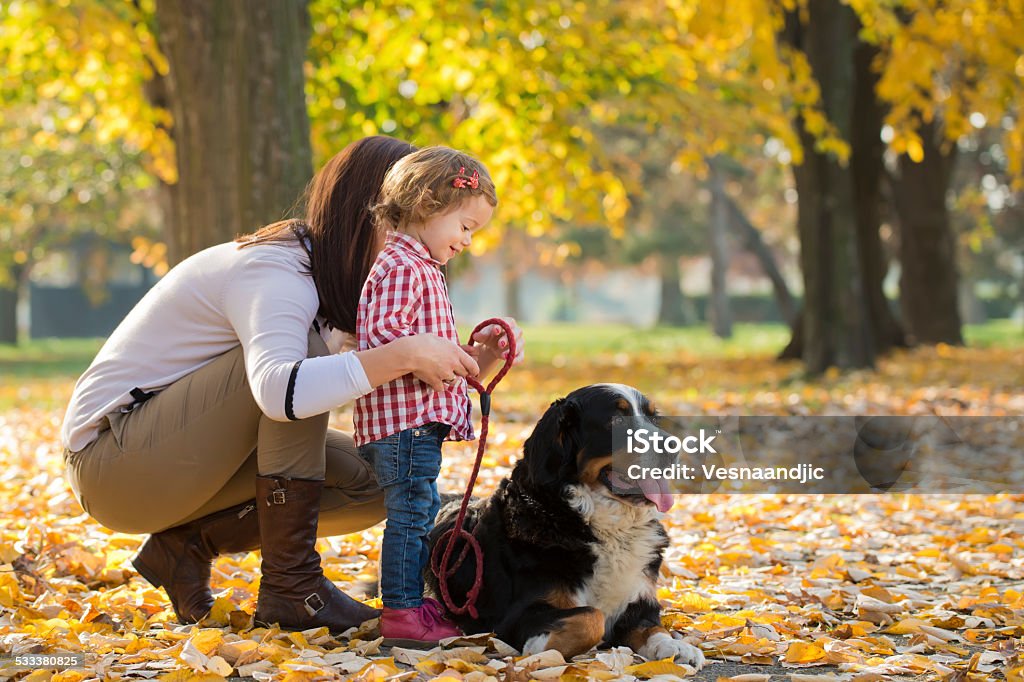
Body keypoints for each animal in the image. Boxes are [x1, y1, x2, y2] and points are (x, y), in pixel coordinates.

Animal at [423, 385, 704, 667]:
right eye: (616, 420)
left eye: (654, 418)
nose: (673, 445)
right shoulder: (512, 616)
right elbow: (592, 617)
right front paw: (542, 646)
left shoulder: (639, 602)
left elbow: (654, 627)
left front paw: (677, 646)